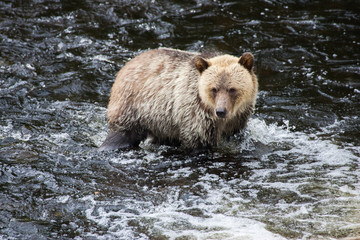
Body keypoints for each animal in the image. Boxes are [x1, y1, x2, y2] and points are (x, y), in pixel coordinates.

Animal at [98, 47, 256, 151]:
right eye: (213, 89)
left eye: (232, 89)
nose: (221, 111)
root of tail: (125, 67)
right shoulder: (196, 115)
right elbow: (199, 142)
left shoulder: (238, 119)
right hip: (133, 108)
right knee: (122, 135)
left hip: (162, 123)